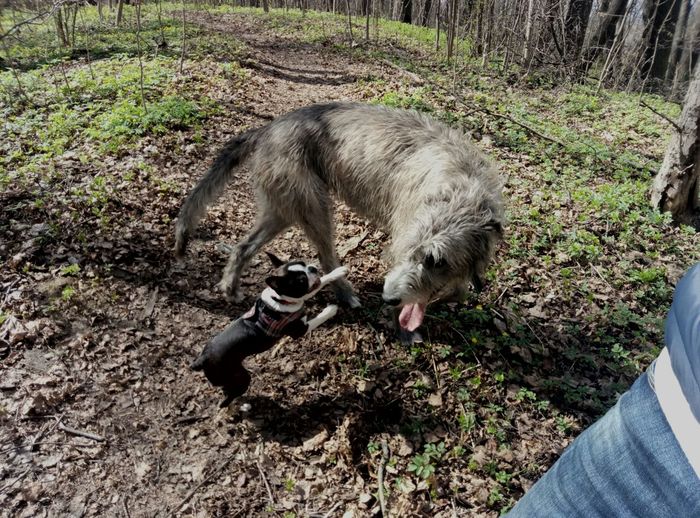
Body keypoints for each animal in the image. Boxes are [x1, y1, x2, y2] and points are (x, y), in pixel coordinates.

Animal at [174, 103, 504, 340]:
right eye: (406, 253)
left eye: (437, 261)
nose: (388, 298)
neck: (462, 186)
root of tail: (268, 127)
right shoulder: (404, 227)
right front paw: (403, 328)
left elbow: (456, 289)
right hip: (313, 205)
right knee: (325, 256)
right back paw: (345, 294)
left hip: (282, 208)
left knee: (244, 246)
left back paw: (229, 285)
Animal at [191, 253, 348, 410]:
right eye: (301, 281)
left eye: (303, 263)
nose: (313, 268)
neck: (278, 299)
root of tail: (202, 359)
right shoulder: (299, 330)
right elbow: (318, 317)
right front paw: (331, 310)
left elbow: (319, 283)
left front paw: (337, 272)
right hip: (238, 376)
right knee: (226, 400)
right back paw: (244, 407)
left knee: (227, 392)